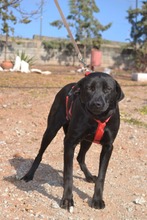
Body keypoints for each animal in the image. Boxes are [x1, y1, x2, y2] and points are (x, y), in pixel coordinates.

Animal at [21, 72, 124, 211]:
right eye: (89, 88)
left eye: (108, 89)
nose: (96, 103)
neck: (97, 117)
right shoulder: (70, 142)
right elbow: (68, 174)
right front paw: (67, 199)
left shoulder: (108, 146)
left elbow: (101, 176)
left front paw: (97, 199)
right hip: (51, 130)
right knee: (39, 154)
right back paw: (29, 175)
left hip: (87, 141)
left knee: (80, 157)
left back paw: (88, 176)